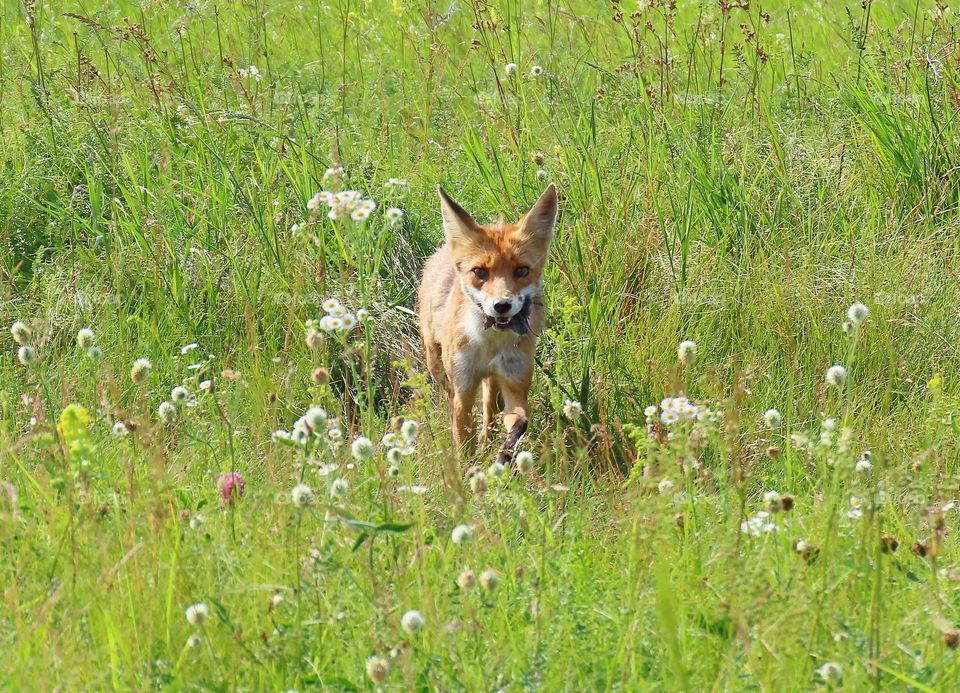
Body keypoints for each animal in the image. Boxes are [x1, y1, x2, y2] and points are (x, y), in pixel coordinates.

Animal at [417, 183, 558, 463]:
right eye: (480, 272)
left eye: (522, 271)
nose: (502, 305)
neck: (490, 345)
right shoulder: (463, 387)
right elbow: (463, 441)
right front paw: (468, 468)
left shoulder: (515, 385)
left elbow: (518, 425)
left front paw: (503, 457)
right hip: (437, 365)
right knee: (451, 398)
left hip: (492, 381)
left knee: (490, 409)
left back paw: (488, 438)